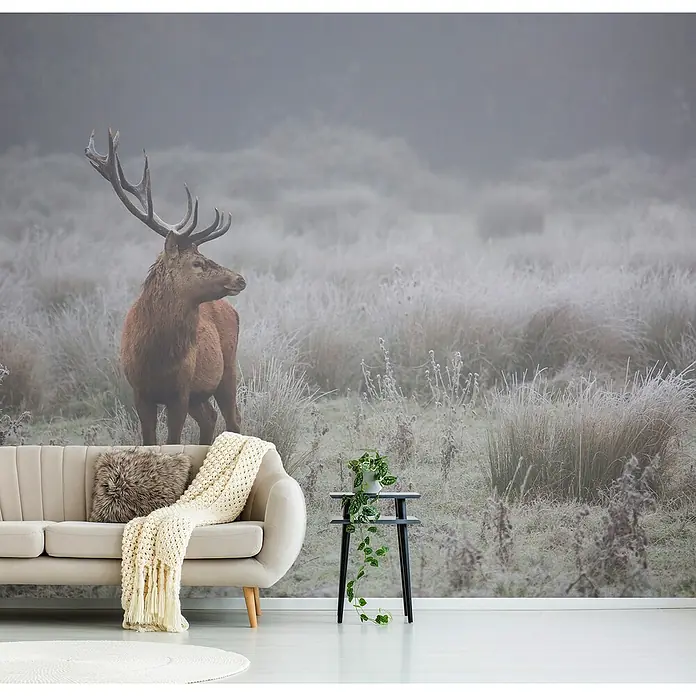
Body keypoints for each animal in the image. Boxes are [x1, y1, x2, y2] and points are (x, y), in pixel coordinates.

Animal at [85, 129, 246, 446]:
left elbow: (172, 442)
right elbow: (150, 442)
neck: (155, 358)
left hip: (228, 369)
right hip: (201, 393)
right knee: (210, 418)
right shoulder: (140, 393)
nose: (239, 279)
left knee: (233, 420)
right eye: (197, 262)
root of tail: (231, 310)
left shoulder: (180, 391)